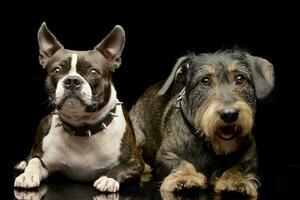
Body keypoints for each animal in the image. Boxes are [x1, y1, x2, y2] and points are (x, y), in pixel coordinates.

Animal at [129, 49, 274, 197]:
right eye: (205, 80)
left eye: (240, 78)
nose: (229, 114)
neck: (209, 144)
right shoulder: (165, 154)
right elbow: (179, 162)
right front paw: (185, 176)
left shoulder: (251, 157)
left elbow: (240, 167)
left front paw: (235, 179)